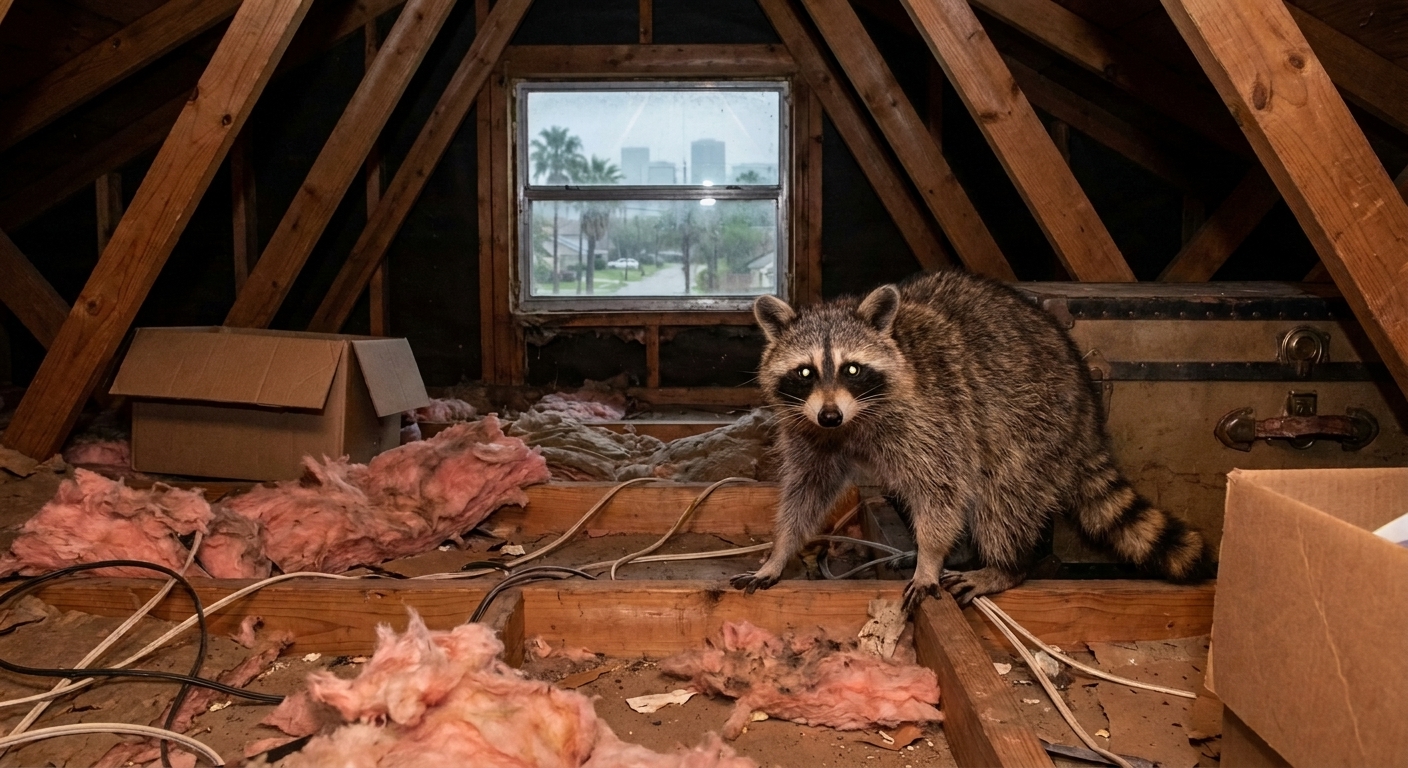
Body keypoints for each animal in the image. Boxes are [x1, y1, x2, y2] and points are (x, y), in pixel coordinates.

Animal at [732, 270, 1207, 610]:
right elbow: (807, 490)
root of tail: (1087, 412)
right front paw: (780, 551)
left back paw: (1004, 566)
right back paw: (961, 554)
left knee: (1002, 495)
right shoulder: (808, 427)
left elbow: (942, 487)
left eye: (851, 369)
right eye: (805, 372)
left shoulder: (934, 415)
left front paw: (931, 557)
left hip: (1034, 425)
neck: (853, 420)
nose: (830, 415)